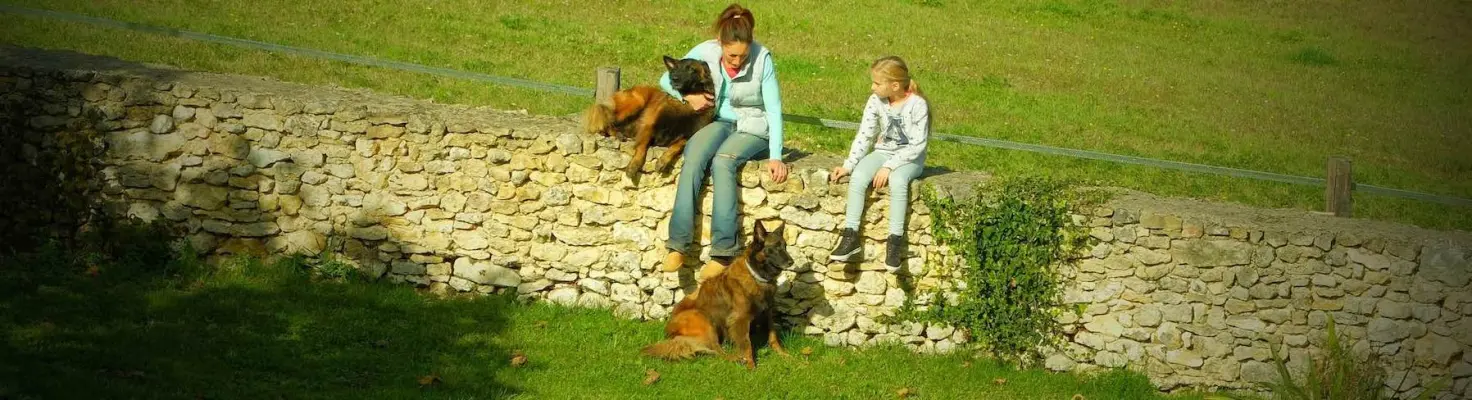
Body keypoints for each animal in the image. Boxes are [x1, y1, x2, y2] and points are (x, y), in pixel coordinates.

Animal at [583, 55, 716, 183]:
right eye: (675, 68)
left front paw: (663, 161)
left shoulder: (689, 136)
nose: (674, 78)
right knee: (607, 121)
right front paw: (634, 165)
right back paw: (617, 133)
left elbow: (677, 146)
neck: (685, 105)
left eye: (691, 69)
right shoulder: (649, 126)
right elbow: (642, 147)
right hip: (637, 101)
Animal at [641, 220, 793, 369]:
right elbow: (746, 344)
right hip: (704, 319)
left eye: (785, 247)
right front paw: (751, 367)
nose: (792, 262)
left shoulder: (767, 311)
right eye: (776, 247)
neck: (756, 276)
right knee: (716, 349)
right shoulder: (740, 319)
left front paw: (785, 356)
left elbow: (773, 336)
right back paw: (736, 359)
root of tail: (670, 331)